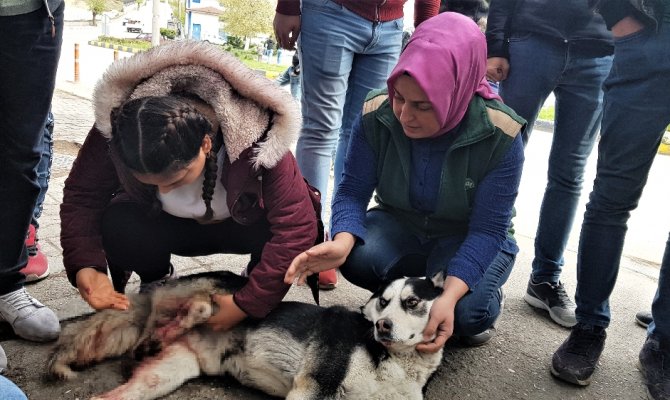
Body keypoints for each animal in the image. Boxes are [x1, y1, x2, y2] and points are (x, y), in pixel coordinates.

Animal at [47, 270, 446, 398]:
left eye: (412, 302)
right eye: (384, 302)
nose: (382, 326)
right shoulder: (313, 386)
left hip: (164, 375)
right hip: (219, 295)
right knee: (200, 307)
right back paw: (158, 334)